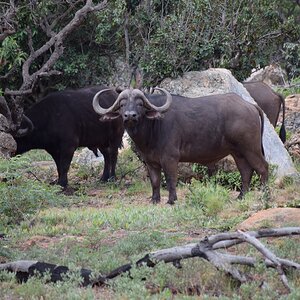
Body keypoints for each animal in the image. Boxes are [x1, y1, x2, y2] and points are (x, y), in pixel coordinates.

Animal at [92, 86, 268, 204]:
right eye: (122, 105)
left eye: (140, 104)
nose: (130, 116)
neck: (153, 128)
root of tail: (250, 105)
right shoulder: (151, 162)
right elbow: (155, 181)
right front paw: (155, 200)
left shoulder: (170, 159)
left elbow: (171, 179)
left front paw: (171, 200)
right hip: (238, 152)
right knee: (246, 171)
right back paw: (241, 197)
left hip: (251, 148)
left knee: (262, 168)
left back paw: (266, 196)